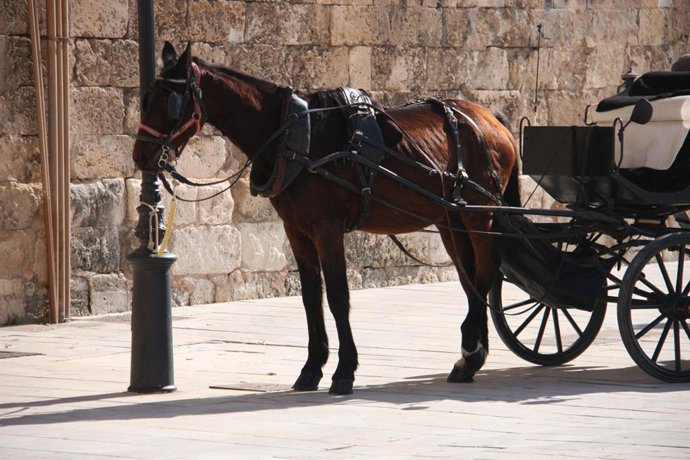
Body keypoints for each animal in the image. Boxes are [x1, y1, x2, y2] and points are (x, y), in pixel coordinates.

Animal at [133, 42, 520, 395]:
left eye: (169, 102)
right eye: (145, 98)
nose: (141, 156)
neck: (296, 137)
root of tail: (489, 118)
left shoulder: (328, 229)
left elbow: (337, 296)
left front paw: (344, 370)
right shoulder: (297, 231)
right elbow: (310, 296)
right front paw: (311, 368)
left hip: (479, 214)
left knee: (486, 269)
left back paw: (470, 347)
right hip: (450, 218)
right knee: (471, 277)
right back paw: (471, 359)